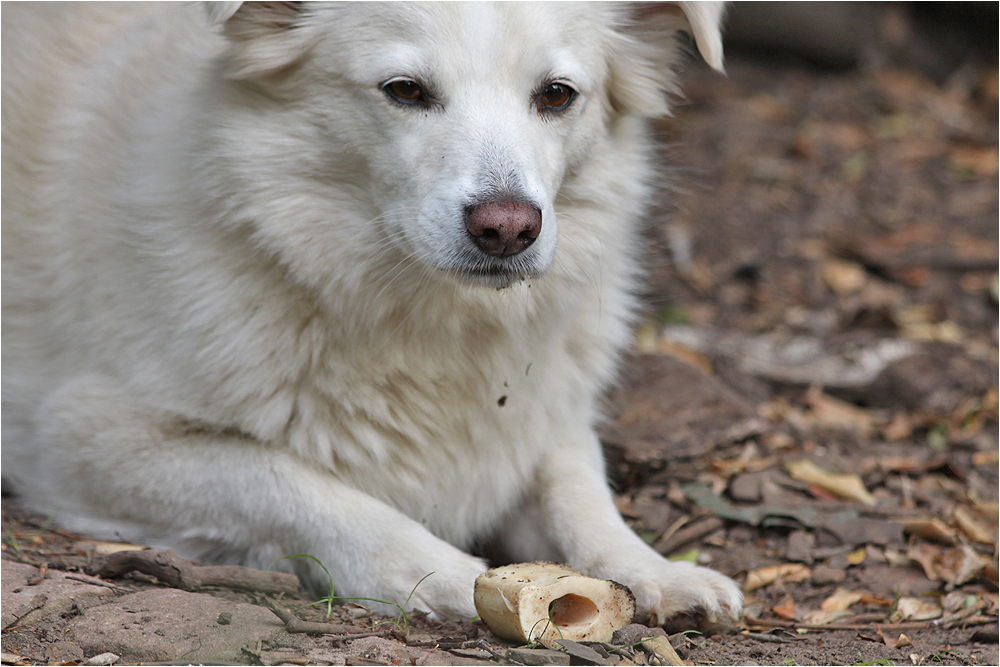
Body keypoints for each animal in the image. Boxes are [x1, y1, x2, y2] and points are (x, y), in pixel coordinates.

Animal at [1, 2, 744, 628]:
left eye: (557, 95)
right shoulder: (82, 433)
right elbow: (292, 483)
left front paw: (655, 570)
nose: (507, 229)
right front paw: (442, 573)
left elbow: (580, 492)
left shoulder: (542, 419)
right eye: (406, 90)